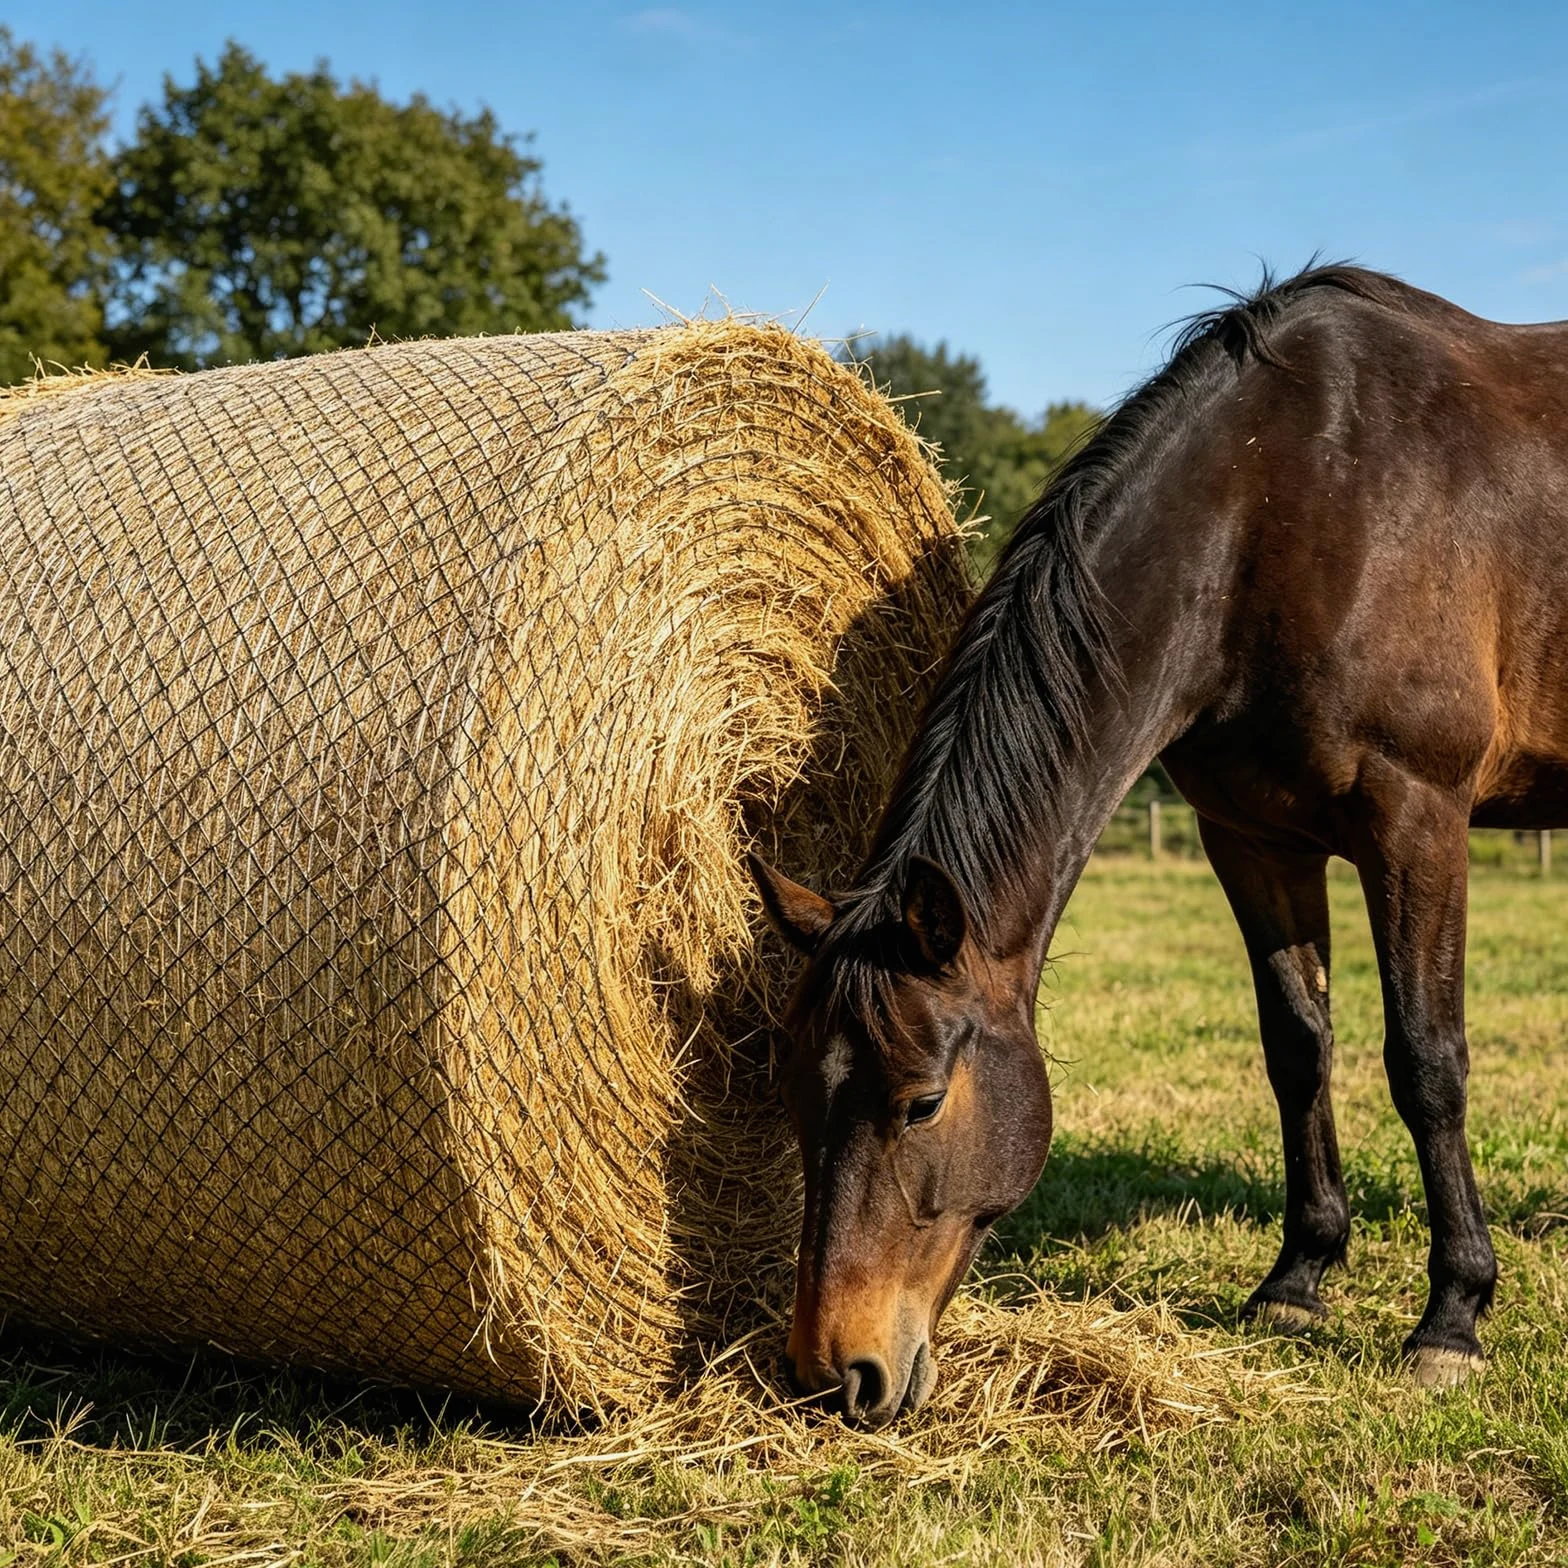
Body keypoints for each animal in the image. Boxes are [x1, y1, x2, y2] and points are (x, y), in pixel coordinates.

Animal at [748, 263, 1568, 1425]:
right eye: (792, 1094)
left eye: (920, 1103)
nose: (835, 1370)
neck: (1294, 499)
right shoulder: (1252, 838)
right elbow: (1296, 1047)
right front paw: (1295, 1281)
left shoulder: (1418, 820)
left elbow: (1426, 1061)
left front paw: (1451, 1315)